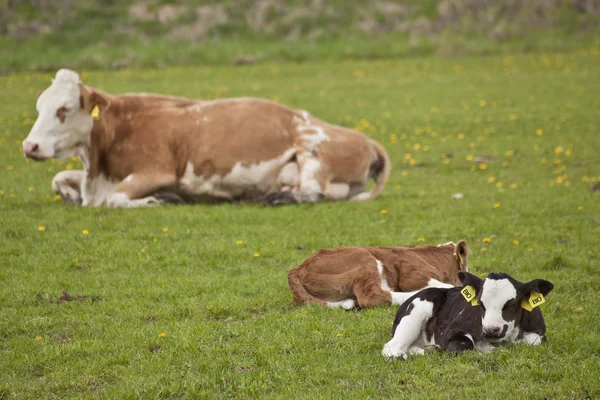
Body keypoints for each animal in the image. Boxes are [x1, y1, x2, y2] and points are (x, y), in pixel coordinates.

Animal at [21, 70, 392, 209]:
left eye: (64, 109)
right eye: (39, 107)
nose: (30, 146)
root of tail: (368, 141)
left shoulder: (156, 170)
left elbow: (114, 199)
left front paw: (160, 199)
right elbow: (59, 179)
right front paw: (71, 195)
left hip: (312, 146)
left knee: (313, 191)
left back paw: (274, 197)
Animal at [382, 268, 556, 360]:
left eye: (511, 303)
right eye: (480, 303)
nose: (490, 330)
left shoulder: (539, 330)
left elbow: (532, 341)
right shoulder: (453, 330)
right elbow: (464, 345)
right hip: (416, 311)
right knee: (393, 345)